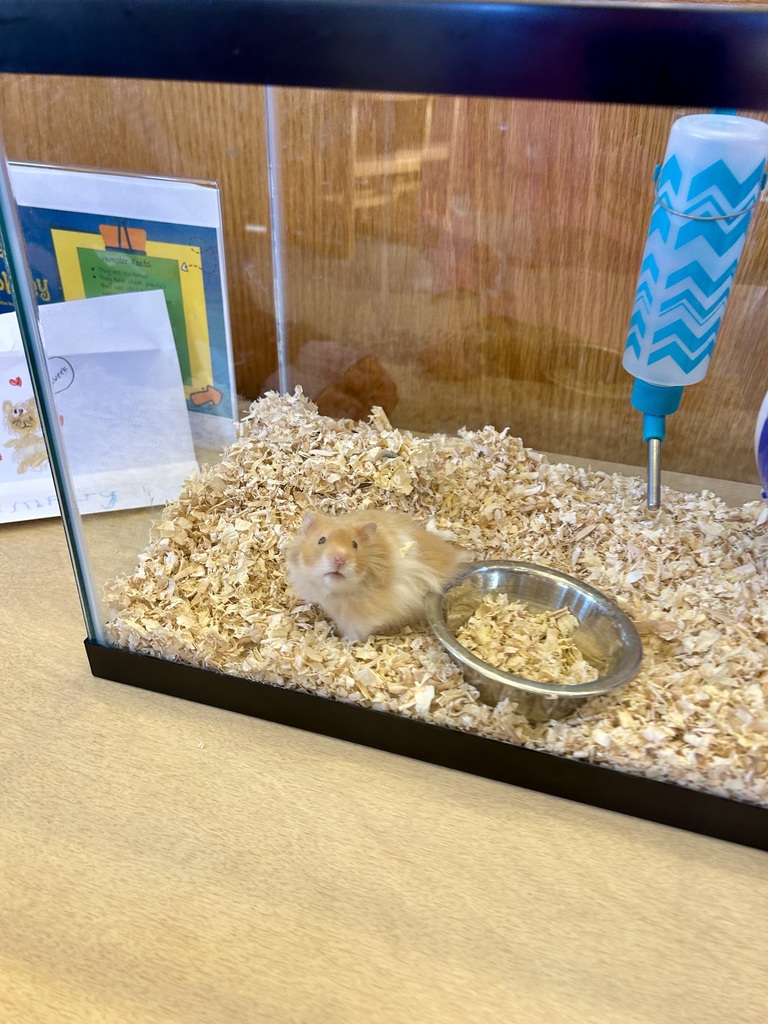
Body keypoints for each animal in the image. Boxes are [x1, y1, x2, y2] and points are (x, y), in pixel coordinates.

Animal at [285, 508, 470, 642]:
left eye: (354, 544)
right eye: (321, 540)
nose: (340, 559)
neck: (332, 590)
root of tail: (455, 556)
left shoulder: (362, 618)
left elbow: (356, 633)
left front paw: (345, 642)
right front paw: (300, 603)